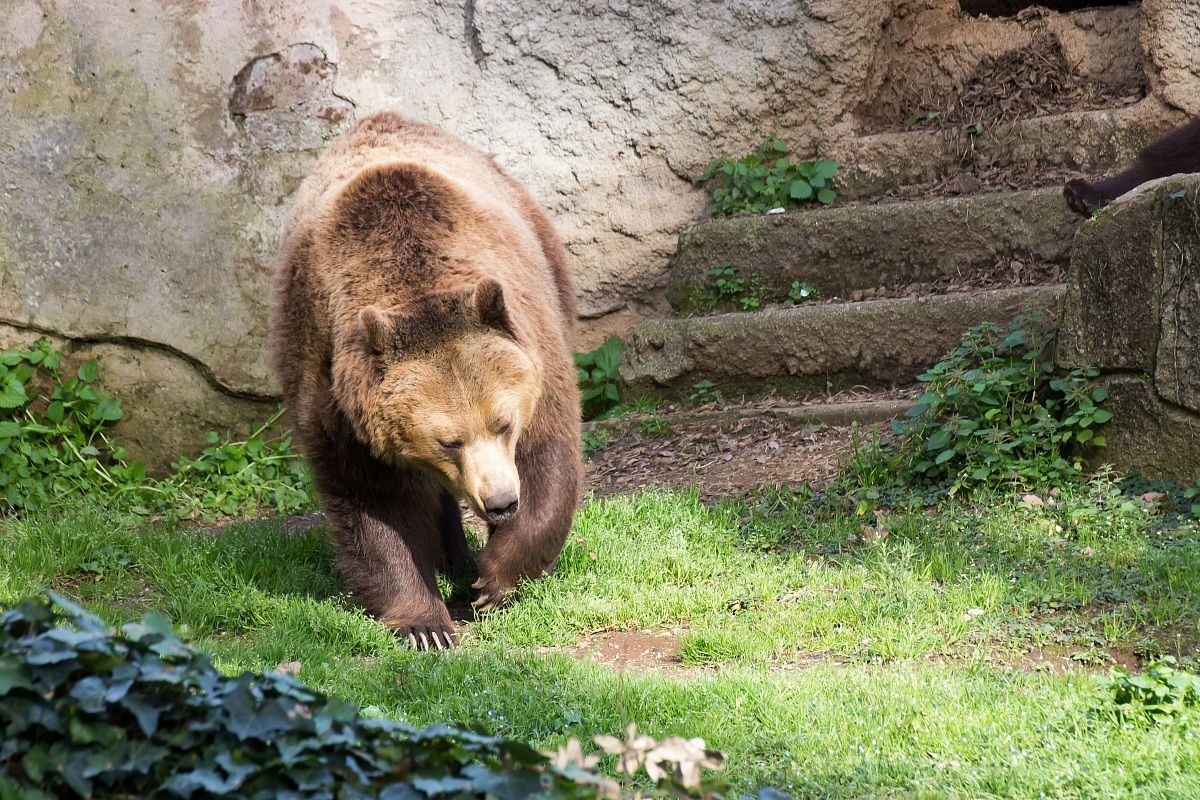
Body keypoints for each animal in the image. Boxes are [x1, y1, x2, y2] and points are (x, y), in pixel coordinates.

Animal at [270, 112, 583, 650]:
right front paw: (425, 624)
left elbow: (547, 456)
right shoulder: (336, 391)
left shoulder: (535, 350)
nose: (501, 502)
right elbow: (375, 502)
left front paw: (492, 580)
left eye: (503, 423)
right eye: (448, 440)